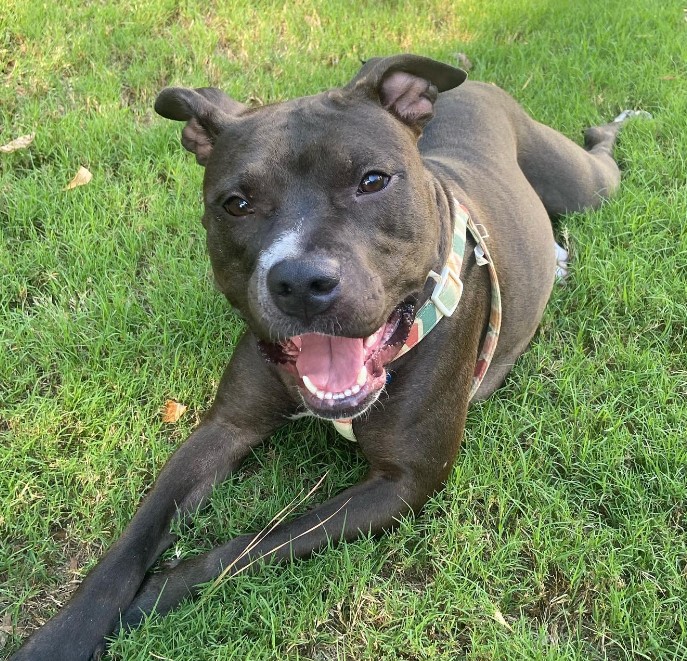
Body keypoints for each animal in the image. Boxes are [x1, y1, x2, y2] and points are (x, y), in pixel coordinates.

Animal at [12, 54, 636, 656]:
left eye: (372, 181)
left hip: (583, 184)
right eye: (236, 203)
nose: (300, 282)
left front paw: (151, 597)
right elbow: (131, 543)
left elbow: (251, 545)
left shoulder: (404, 481)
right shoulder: (224, 427)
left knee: (601, 158)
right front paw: (62, 635)